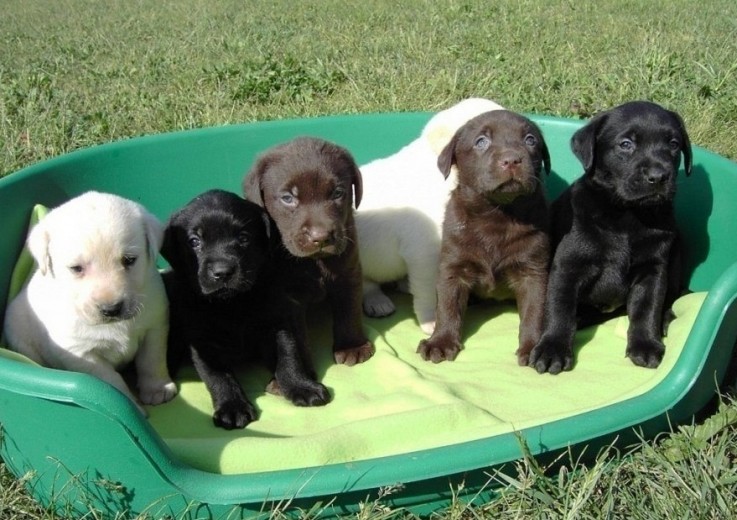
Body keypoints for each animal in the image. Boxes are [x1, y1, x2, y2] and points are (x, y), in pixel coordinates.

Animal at [3, 191, 177, 414]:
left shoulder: (155, 325)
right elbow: (112, 382)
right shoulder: (82, 354)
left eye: (129, 260)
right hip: (18, 335)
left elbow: (151, 360)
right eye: (76, 268)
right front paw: (133, 407)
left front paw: (157, 389)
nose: (111, 308)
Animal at [164, 189, 330, 428]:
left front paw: (301, 386)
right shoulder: (203, 343)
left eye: (243, 238)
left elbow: (289, 357)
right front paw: (232, 407)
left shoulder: (277, 324)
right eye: (194, 241)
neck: (232, 303)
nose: (222, 272)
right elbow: (218, 377)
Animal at [528, 100, 688, 374]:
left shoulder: (653, 269)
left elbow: (647, 308)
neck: (627, 215)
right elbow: (559, 308)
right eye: (626, 144)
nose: (658, 176)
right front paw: (552, 349)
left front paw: (646, 345)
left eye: (674, 144)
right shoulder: (568, 266)